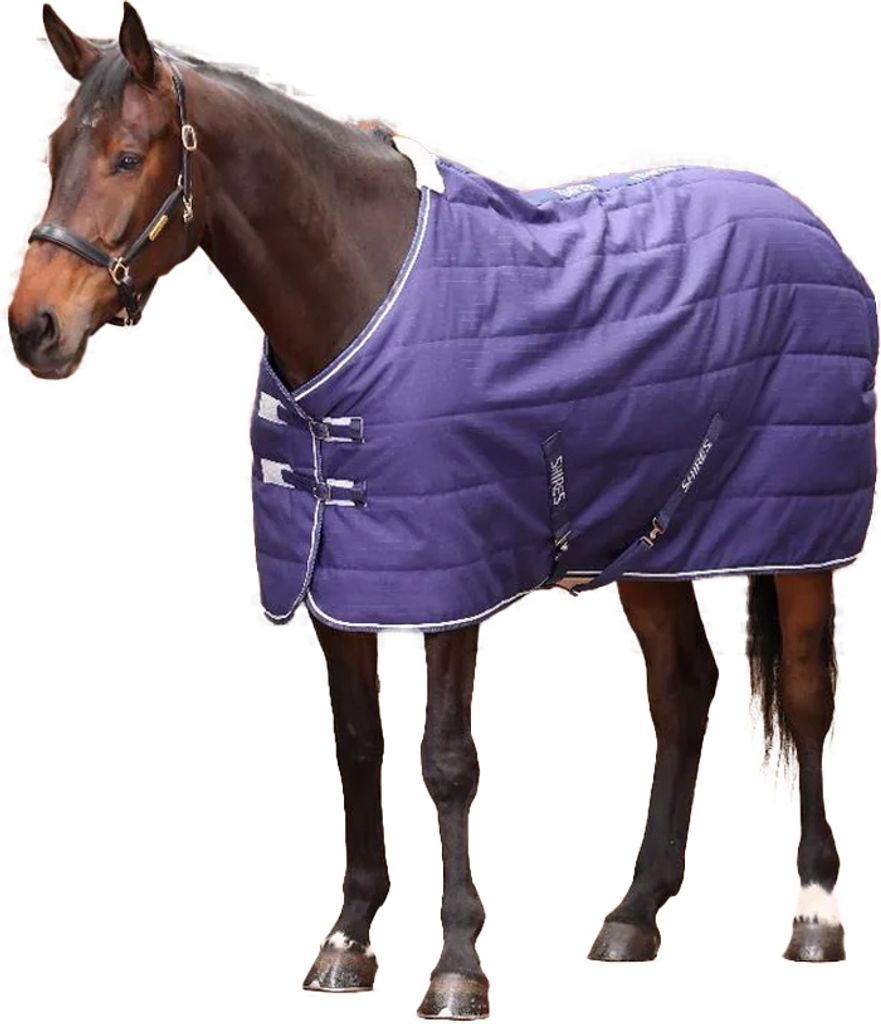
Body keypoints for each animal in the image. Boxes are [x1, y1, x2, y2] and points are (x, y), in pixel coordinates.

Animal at [8, 5, 877, 1020]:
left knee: (808, 696)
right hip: (652, 544)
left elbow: (445, 760)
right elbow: (358, 746)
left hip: (798, 540)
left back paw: (813, 913)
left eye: (127, 154)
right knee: (681, 691)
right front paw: (347, 939)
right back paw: (633, 914)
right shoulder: (340, 580)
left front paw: (457, 962)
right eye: (54, 149)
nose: (34, 328)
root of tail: (810, 227)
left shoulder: (449, 584)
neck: (360, 291)